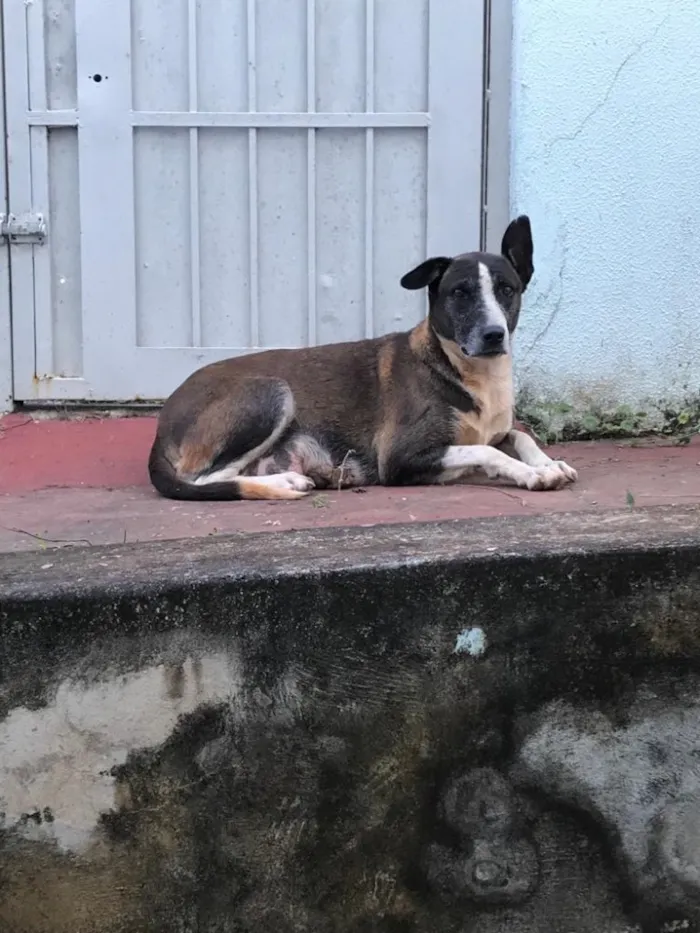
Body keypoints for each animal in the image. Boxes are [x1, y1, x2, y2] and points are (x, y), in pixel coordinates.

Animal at [148, 215, 576, 498]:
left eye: (507, 289)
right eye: (460, 293)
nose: (493, 335)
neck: (469, 372)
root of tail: (163, 423)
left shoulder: (495, 429)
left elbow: (518, 436)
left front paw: (548, 463)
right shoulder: (401, 456)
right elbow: (487, 449)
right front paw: (531, 474)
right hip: (270, 393)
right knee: (205, 480)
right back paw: (284, 482)